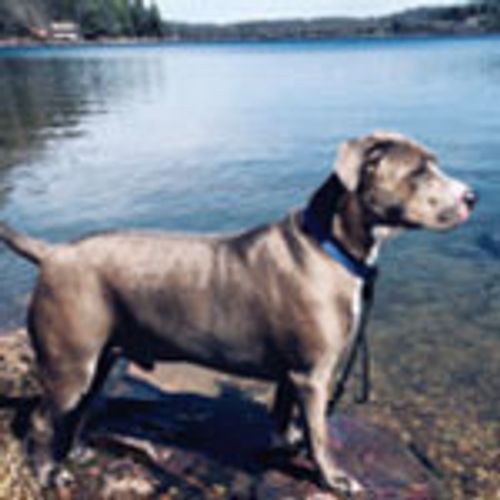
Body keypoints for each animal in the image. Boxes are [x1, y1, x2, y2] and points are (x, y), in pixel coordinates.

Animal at [0, 131, 476, 494]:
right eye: (419, 171)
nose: (472, 196)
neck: (332, 246)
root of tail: (53, 253)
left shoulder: (292, 373)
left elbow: (286, 417)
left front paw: (287, 446)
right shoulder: (314, 374)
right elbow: (320, 435)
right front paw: (333, 479)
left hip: (105, 360)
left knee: (80, 410)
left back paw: (76, 452)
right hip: (70, 362)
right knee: (40, 419)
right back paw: (49, 473)